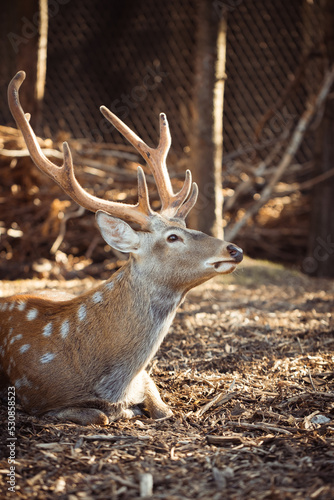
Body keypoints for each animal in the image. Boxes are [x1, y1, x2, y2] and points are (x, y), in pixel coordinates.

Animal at [0, 71, 244, 426]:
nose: (234, 250)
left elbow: (164, 410)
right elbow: (100, 416)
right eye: (173, 237)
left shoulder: (146, 379)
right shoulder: (36, 396)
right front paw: (120, 413)